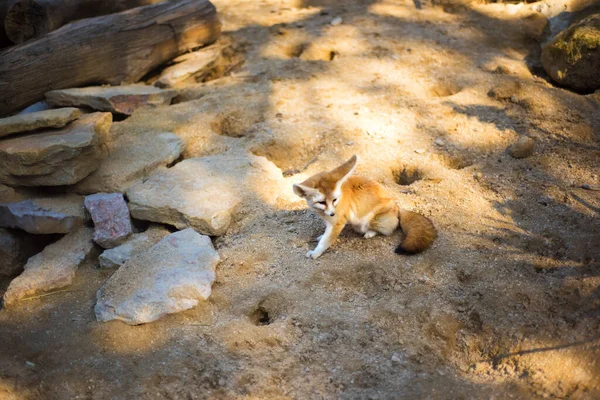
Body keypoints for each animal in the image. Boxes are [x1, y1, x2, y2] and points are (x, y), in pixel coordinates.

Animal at [292, 153, 436, 260]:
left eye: (334, 200)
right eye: (322, 202)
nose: (332, 213)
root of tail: (398, 208)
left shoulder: (337, 223)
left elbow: (326, 241)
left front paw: (316, 252)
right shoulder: (330, 221)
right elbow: (326, 234)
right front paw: (322, 236)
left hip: (367, 221)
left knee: (388, 229)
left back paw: (370, 233)